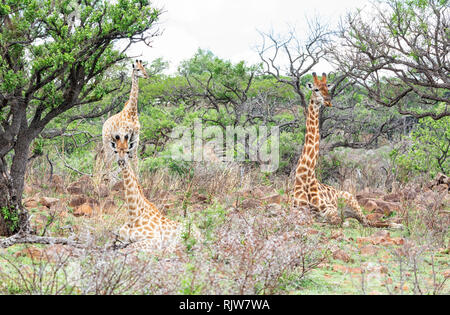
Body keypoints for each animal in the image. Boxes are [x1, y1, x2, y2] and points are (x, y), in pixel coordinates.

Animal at [292, 73, 370, 227]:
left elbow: (335, 220)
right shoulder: (296, 209)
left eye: (327, 88)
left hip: (352, 202)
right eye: (316, 89)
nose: (328, 101)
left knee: (368, 222)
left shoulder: (330, 210)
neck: (305, 176)